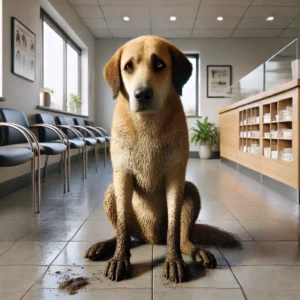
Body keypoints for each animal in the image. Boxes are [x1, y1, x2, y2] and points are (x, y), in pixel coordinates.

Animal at [85, 36, 241, 282]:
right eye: (128, 66)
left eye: (159, 64)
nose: (142, 94)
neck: (147, 124)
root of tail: (150, 237)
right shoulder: (122, 175)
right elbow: (122, 225)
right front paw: (120, 259)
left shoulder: (175, 177)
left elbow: (174, 226)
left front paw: (174, 260)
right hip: (111, 193)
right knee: (123, 234)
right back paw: (106, 245)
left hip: (191, 191)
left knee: (183, 237)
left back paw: (195, 251)